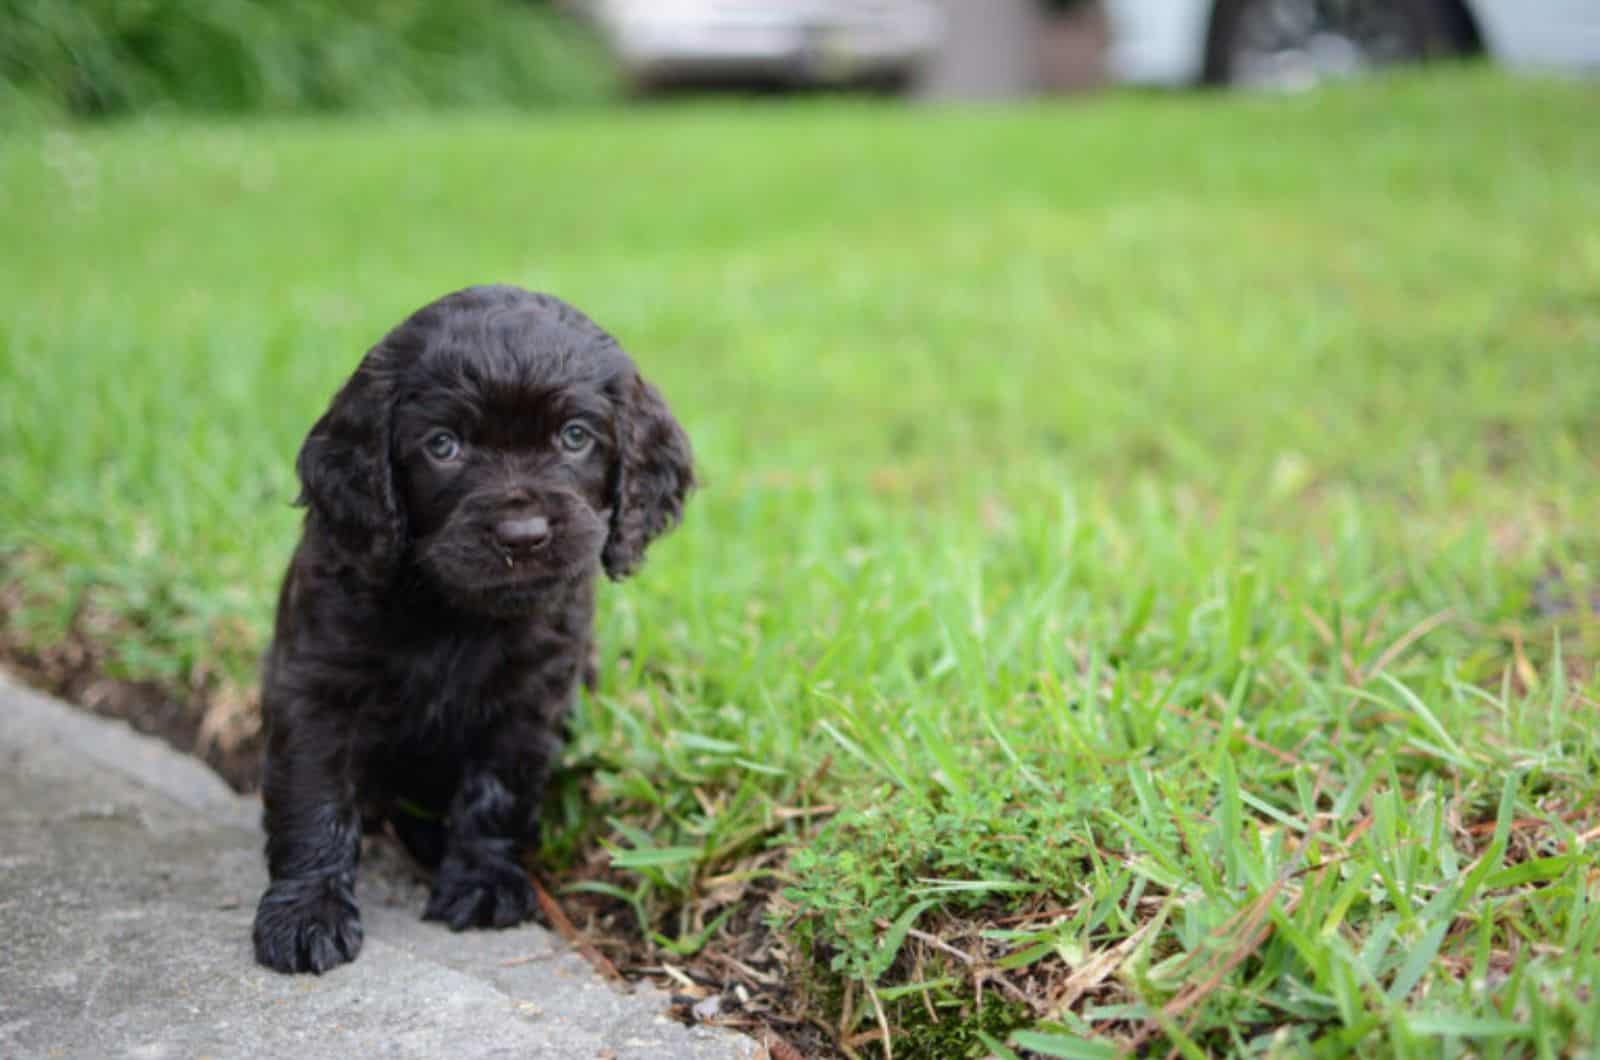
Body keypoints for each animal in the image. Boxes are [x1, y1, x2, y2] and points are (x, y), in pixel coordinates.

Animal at [252, 286, 691, 973]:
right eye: (443, 446)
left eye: (575, 436)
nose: (523, 536)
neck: (457, 614)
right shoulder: (315, 684)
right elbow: (313, 794)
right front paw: (306, 913)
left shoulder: (531, 696)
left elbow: (499, 790)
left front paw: (484, 882)